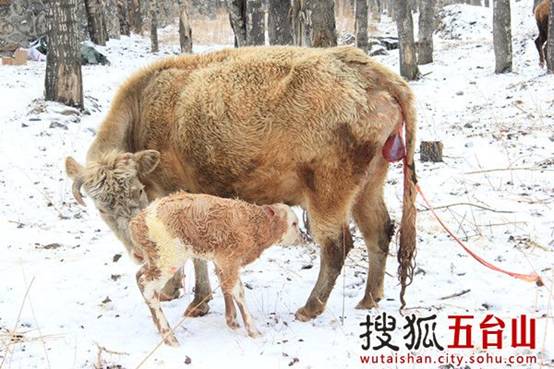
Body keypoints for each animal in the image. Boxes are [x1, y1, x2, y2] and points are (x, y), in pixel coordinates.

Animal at [64, 46, 416, 320]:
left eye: (136, 191)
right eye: (102, 208)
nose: (136, 253)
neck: (143, 110)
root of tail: (371, 73)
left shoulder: (177, 194)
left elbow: (193, 253)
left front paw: (197, 302)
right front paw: (171, 291)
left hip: (328, 195)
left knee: (337, 245)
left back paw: (310, 307)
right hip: (369, 185)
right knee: (379, 232)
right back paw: (369, 298)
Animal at [128, 190, 302, 344]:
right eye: (294, 224)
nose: (302, 237)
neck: (254, 225)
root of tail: (136, 223)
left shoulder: (221, 261)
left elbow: (226, 286)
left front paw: (232, 322)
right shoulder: (229, 259)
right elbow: (238, 291)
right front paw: (253, 331)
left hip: (154, 259)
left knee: (139, 277)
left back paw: (159, 327)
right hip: (168, 258)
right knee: (148, 286)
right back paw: (170, 337)